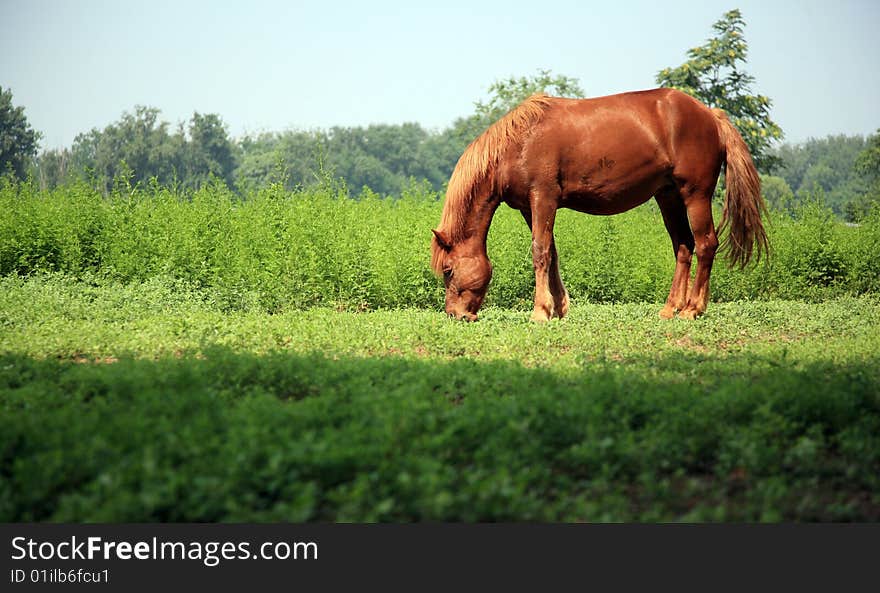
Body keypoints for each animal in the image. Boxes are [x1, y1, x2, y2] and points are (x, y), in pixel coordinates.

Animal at [430, 87, 768, 320]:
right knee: (684, 246)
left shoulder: (543, 198)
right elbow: (552, 252)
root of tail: (711, 116)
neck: (520, 142)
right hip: (668, 197)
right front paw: (559, 308)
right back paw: (670, 308)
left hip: (695, 195)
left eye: (448, 270)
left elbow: (540, 252)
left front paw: (540, 311)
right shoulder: (530, 206)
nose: (455, 315)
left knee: (706, 244)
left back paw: (692, 309)